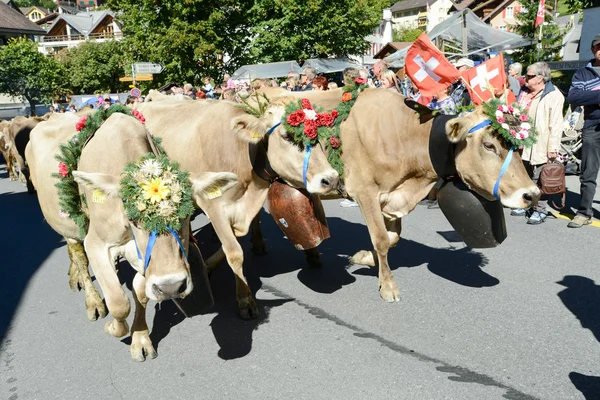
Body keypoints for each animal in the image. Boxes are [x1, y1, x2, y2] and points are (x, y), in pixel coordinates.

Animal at [137, 97, 342, 318]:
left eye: (319, 135)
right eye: (287, 136)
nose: (331, 179)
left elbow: (231, 246)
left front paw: (207, 266)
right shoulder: (214, 206)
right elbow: (234, 253)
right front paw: (245, 300)